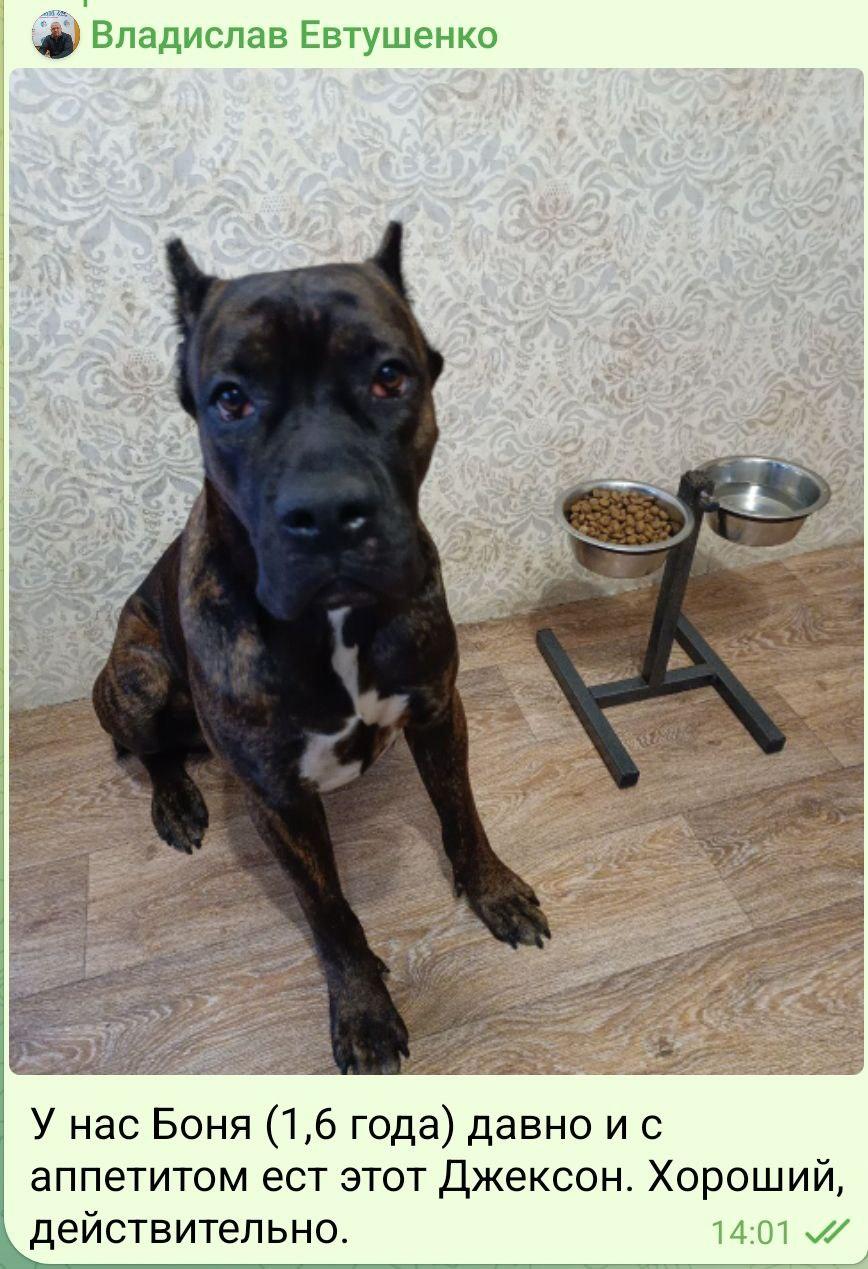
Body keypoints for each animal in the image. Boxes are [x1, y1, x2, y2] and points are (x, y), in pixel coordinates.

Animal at [93, 223, 551, 1073]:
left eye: (388, 377)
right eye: (231, 398)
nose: (330, 511)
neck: (337, 623)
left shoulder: (439, 711)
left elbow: (463, 812)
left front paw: (494, 890)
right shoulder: (280, 799)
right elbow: (329, 906)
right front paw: (364, 1008)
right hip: (135, 674)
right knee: (152, 747)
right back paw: (177, 798)